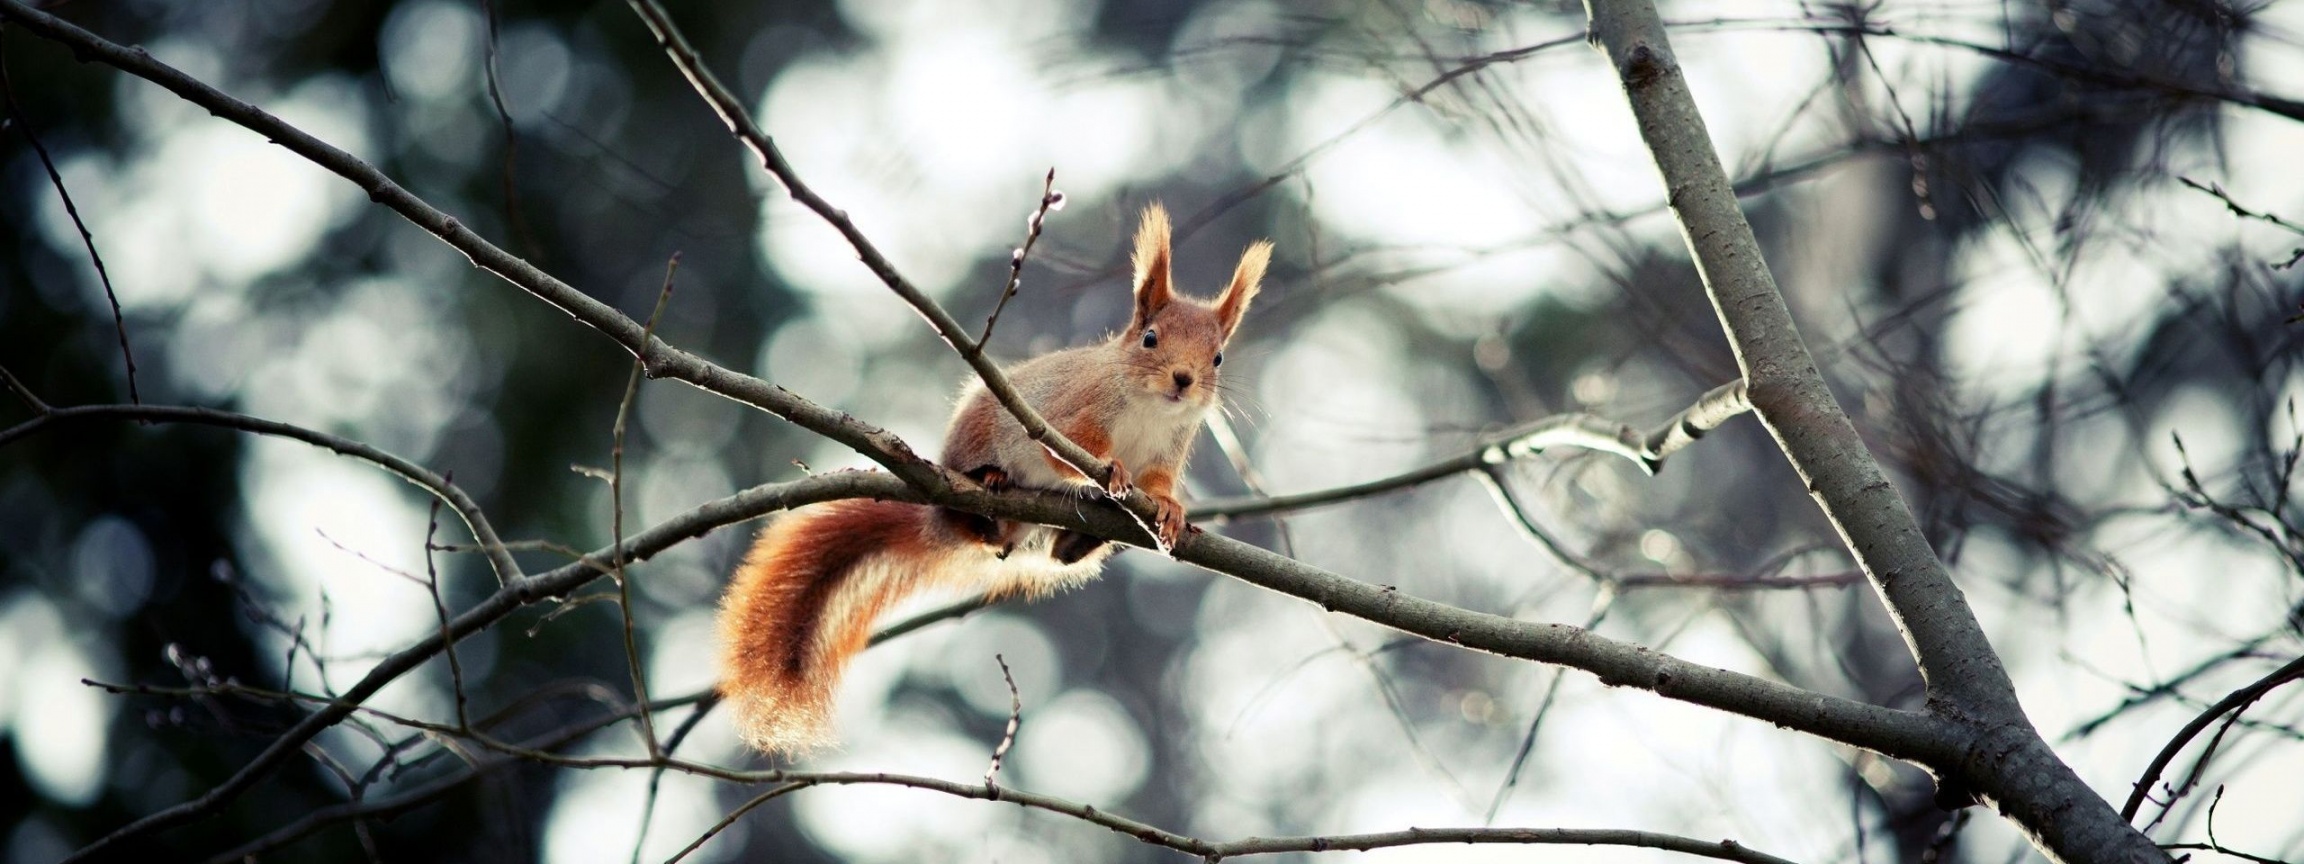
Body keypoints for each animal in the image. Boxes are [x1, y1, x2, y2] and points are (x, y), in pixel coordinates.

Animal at [714, 205, 1271, 755]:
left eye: (1218, 357)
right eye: (1151, 338)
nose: (1184, 379)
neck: (1151, 408)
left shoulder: (1166, 451)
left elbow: (1156, 485)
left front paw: (1171, 511)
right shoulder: (1071, 416)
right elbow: (1071, 452)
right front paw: (1110, 468)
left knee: (1049, 554)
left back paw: (1075, 540)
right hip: (974, 441)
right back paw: (990, 482)